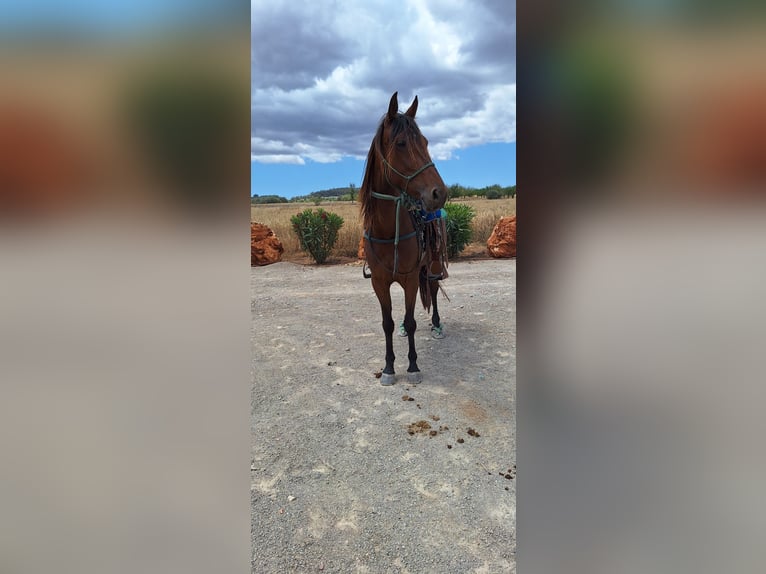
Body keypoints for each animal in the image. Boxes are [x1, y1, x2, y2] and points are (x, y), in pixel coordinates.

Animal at [360, 92, 449, 385]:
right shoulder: (379, 282)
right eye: (400, 143)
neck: (388, 231)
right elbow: (386, 323)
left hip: (432, 265)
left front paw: (412, 366)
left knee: (433, 289)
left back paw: (437, 324)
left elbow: (412, 321)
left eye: (425, 142)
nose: (439, 193)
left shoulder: (411, 278)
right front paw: (389, 368)